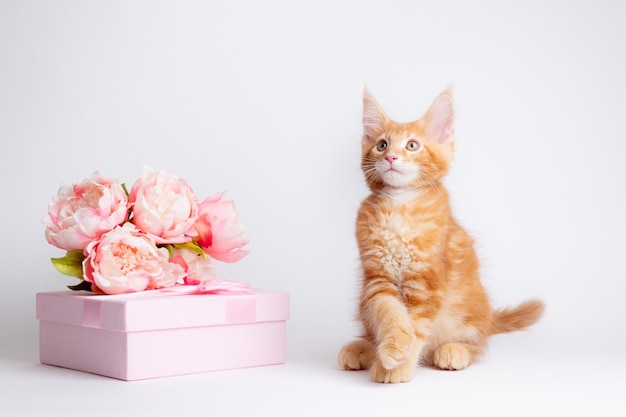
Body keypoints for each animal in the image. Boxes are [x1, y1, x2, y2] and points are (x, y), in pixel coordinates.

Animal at [336, 88, 540, 384]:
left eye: (412, 145)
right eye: (382, 145)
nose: (390, 157)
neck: (400, 204)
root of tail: (490, 318)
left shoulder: (427, 283)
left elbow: (418, 328)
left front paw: (396, 367)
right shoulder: (377, 279)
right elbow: (389, 313)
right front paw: (393, 347)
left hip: (469, 311)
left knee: (476, 343)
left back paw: (454, 350)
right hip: (363, 301)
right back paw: (362, 348)